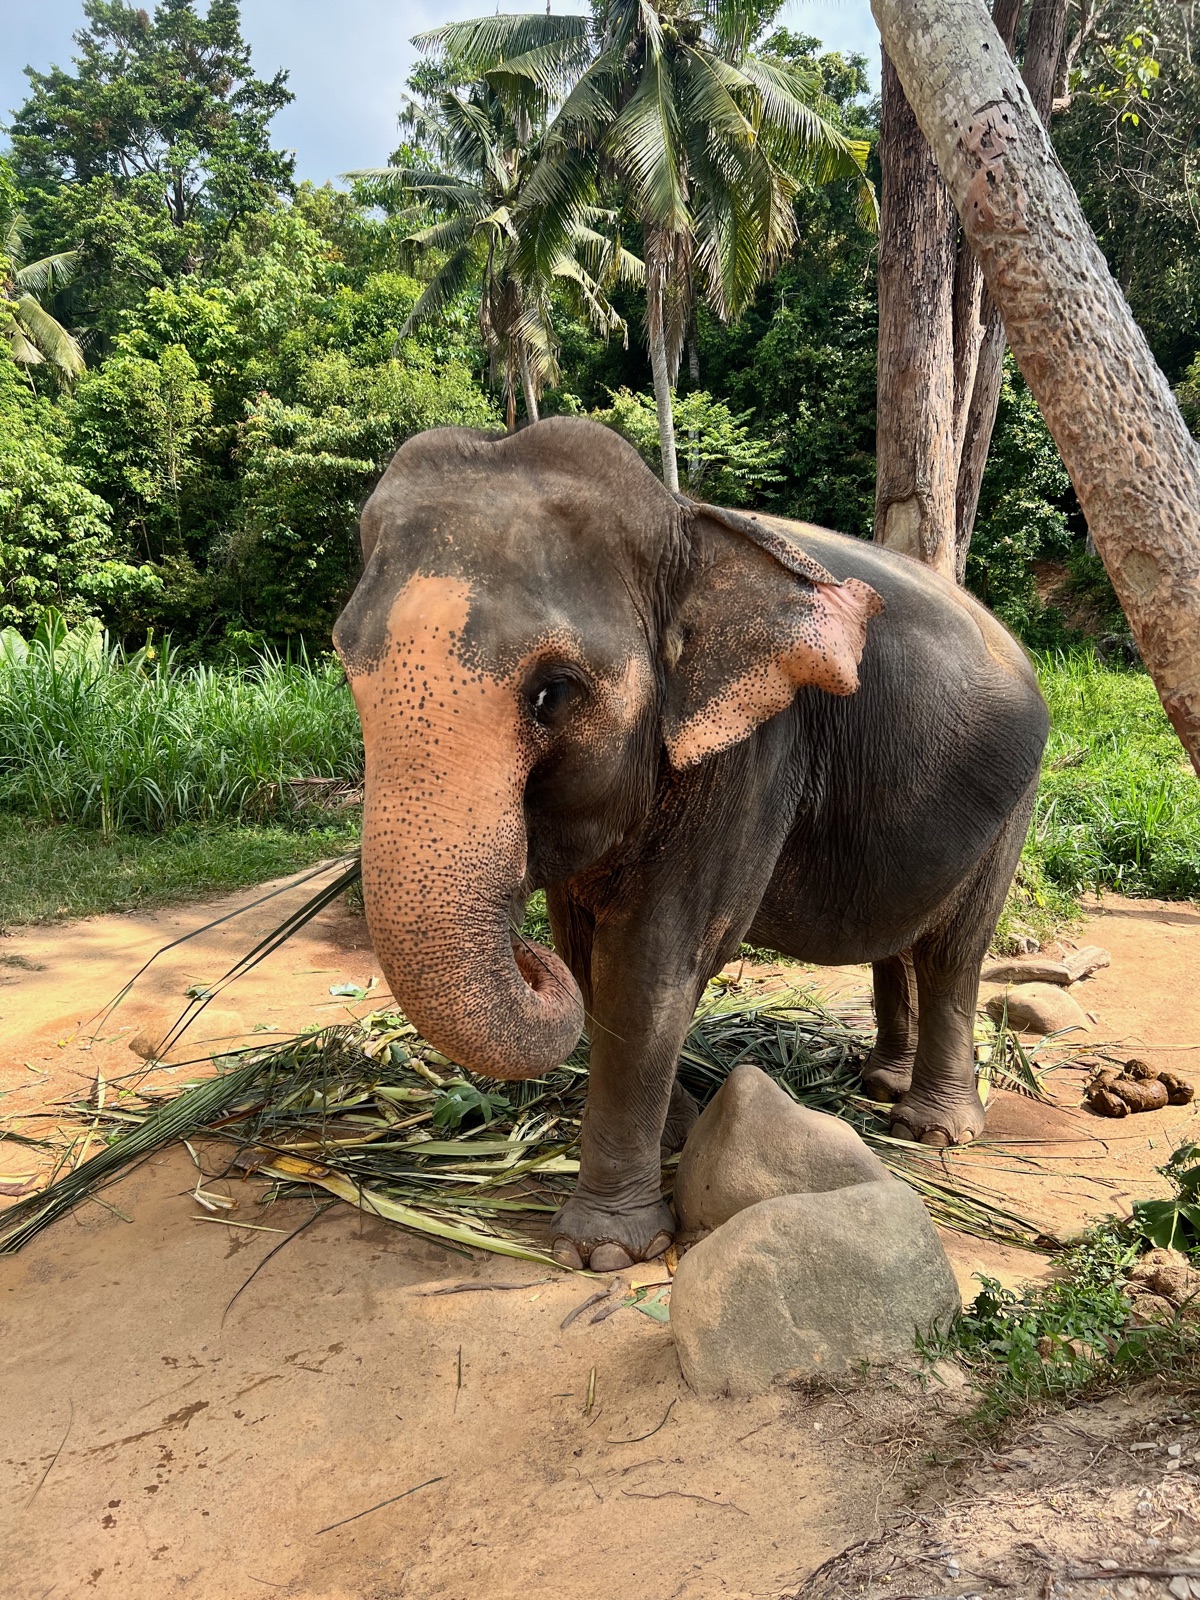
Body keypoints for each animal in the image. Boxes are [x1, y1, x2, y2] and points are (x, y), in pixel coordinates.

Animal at [333, 417, 1049, 1271]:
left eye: (554, 692)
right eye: (346, 669)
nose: (522, 951)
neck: (685, 522)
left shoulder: (757, 748)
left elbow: (652, 961)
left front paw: (604, 1251)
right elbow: (589, 954)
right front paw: (673, 1137)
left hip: (1014, 805)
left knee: (952, 952)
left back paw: (930, 1129)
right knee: (897, 942)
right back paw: (879, 1084)